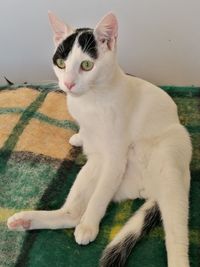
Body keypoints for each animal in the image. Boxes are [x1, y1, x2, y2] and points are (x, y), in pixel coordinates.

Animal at [7, 11, 192, 267]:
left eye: (87, 65)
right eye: (62, 64)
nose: (68, 84)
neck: (90, 100)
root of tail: (146, 189)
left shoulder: (115, 157)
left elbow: (99, 198)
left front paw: (89, 226)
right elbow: (86, 135)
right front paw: (79, 138)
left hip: (169, 166)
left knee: (176, 233)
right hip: (93, 167)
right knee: (71, 214)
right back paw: (26, 220)